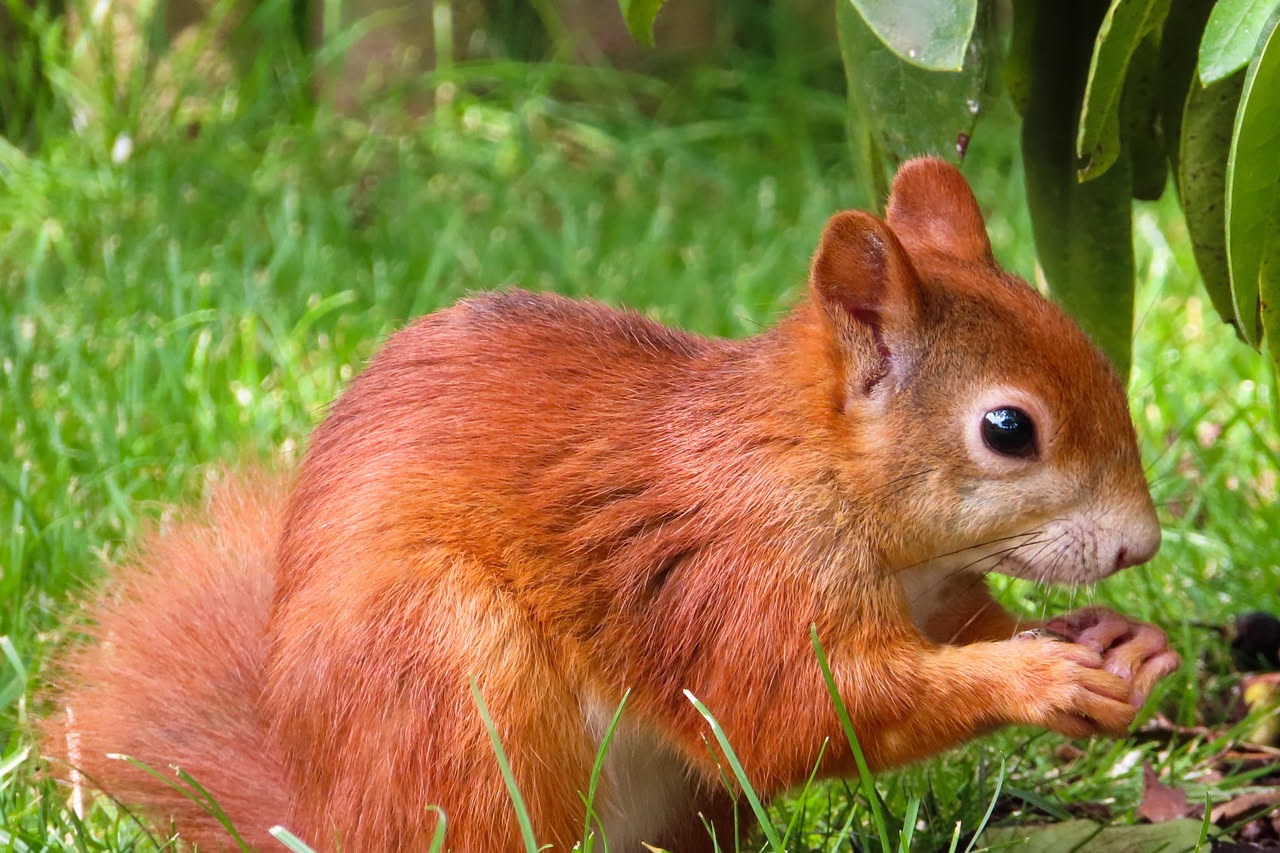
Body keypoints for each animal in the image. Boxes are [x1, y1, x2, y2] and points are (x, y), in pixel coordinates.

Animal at [42, 158, 1181, 851]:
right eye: (1008, 429)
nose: (1141, 545)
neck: (826, 476)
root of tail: (325, 813)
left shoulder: (935, 589)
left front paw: (1119, 644)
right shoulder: (734, 573)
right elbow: (800, 712)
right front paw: (1037, 675)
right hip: (450, 675)